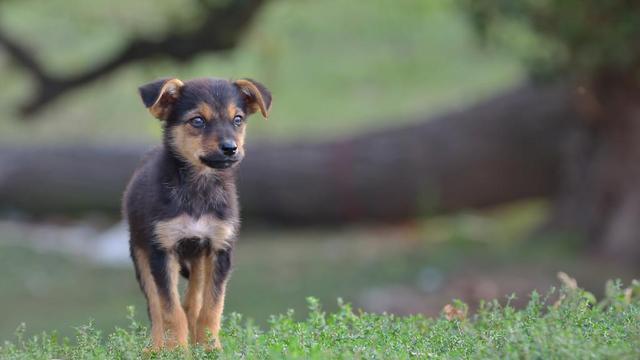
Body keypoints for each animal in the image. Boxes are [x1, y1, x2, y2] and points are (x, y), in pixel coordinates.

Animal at [124, 77, 272, 350]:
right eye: (197, 121)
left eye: (237, 119)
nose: (230, 148)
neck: (199, 188)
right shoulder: (162, 250)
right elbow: (170, 311)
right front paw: (176, 350)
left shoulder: (219, 248)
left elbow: (211, 308)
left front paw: (210, 348)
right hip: (140, 253)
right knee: (156, 308)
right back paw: (155, 348)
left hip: (199, 259)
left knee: (192, 302)